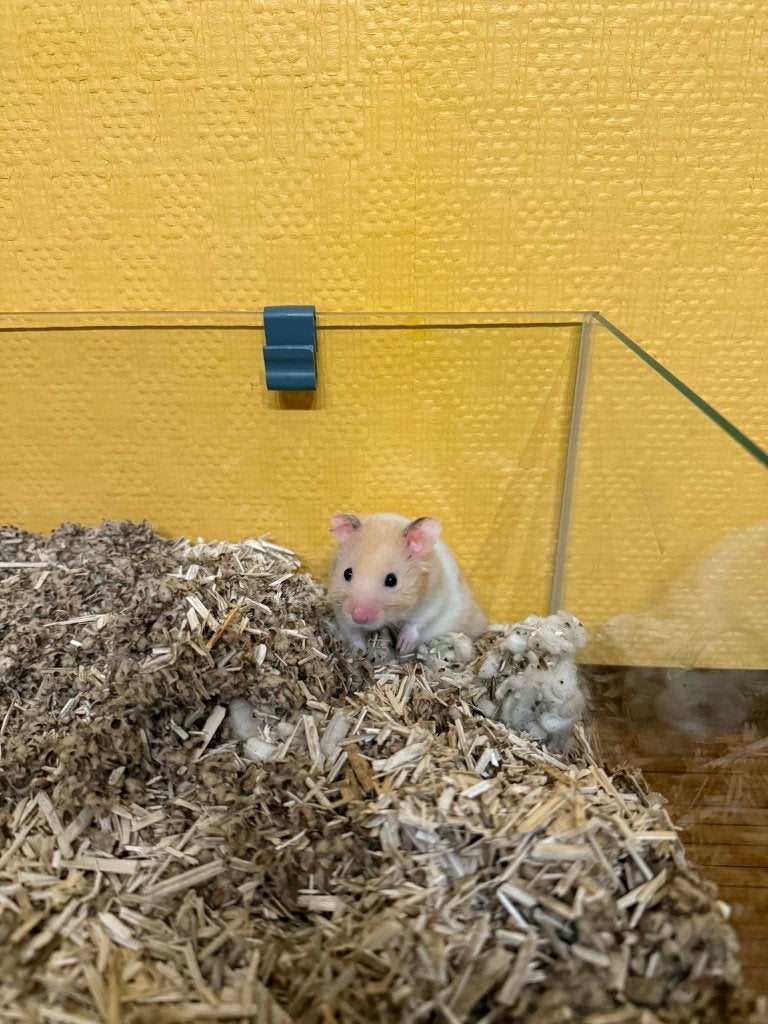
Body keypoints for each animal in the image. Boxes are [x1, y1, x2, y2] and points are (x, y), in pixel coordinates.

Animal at [327, 512, 487, 655]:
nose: (359, 617)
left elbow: (416, 623)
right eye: (347, 573)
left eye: (392, 580)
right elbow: (352, 632)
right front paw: (359, 650)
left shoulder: (435, 600)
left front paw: (403, 647)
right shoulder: (341, 610)